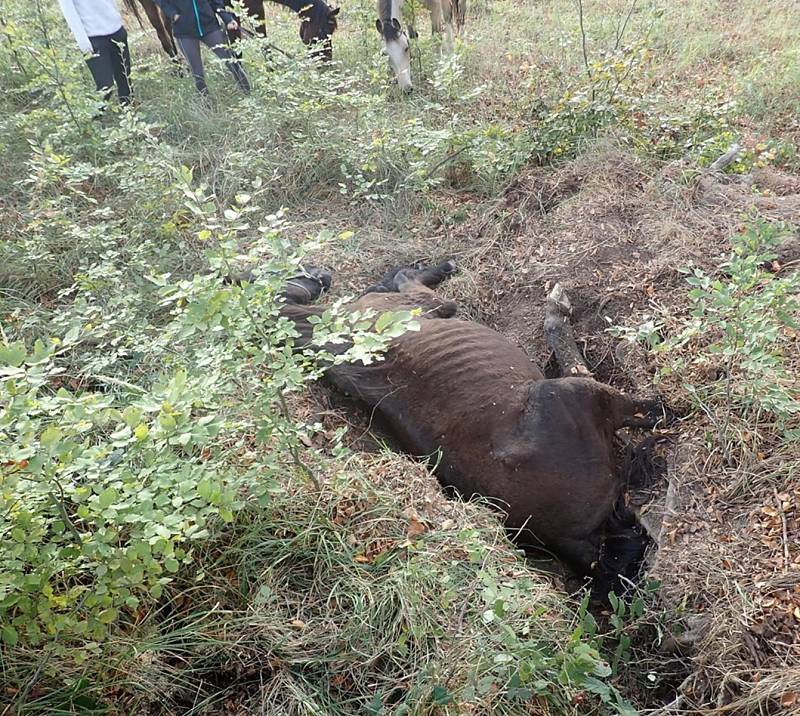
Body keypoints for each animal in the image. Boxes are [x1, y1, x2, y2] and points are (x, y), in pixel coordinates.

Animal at [126, 0, 340, 63]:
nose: (326, 64)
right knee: (161, 31)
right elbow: (236, 43)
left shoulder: (254, 6)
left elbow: (262, 39)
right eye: (324, 30)